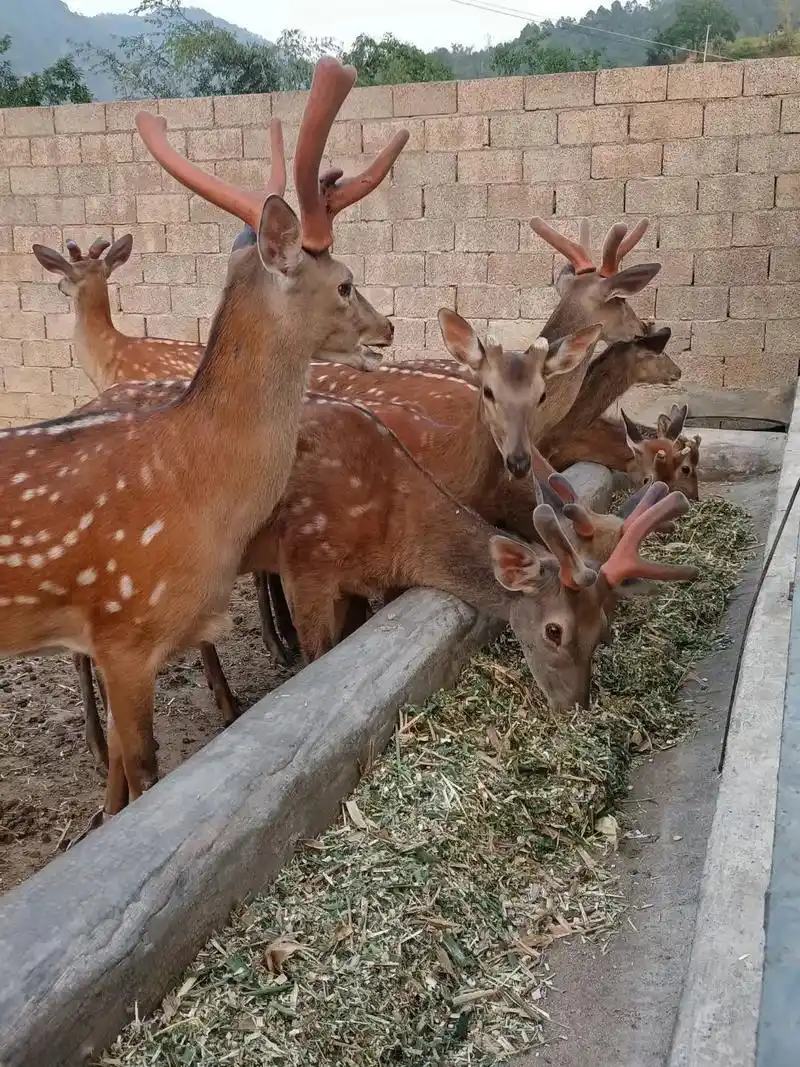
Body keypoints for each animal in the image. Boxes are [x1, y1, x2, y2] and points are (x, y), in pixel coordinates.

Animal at [0, 56, 409, 817]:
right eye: (345, 283)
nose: (387, 328)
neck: (196, 482)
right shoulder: (124, 627)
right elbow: (143, 768)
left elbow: (121, 772)